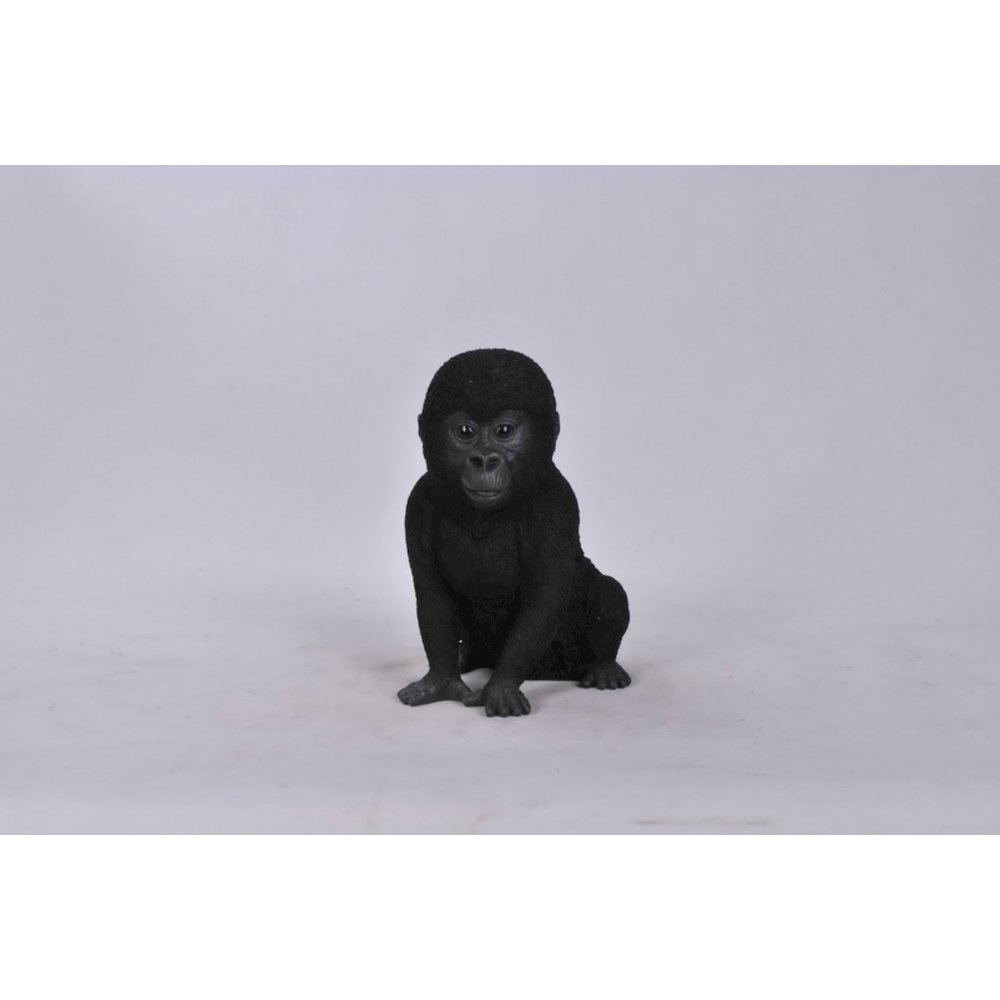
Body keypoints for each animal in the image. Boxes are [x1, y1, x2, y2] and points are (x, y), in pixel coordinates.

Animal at [397, 348, 630, 717]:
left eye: (504, 431)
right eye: (465, 431)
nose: (484, 460)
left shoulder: (555, 502)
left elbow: (544, 598)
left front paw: (500, 687)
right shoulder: (418, 503)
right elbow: (431, 592)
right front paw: (441, 680)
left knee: (610, 590)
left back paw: (604, 666)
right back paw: (466, 657)